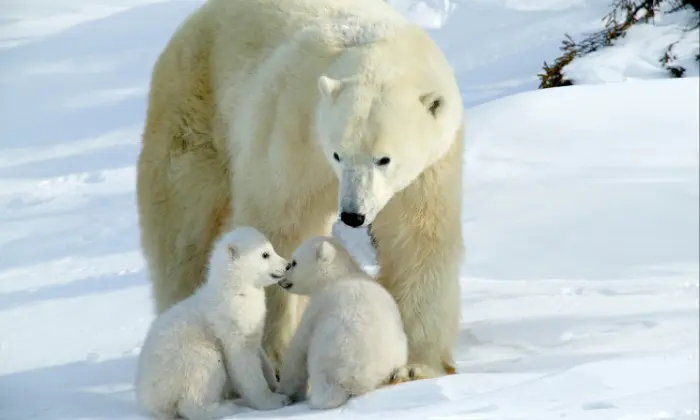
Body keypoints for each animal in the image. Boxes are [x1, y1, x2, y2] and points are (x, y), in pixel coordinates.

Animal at [136, 0, 464, 378]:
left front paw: (417, 365)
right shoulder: (293, 129)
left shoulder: (429, 168)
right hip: (194, 110)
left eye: (384, 159)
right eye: (338, 153)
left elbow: (416, 239)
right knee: (183, 231)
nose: (353, 215)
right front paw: (275, 355)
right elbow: (279, 224)